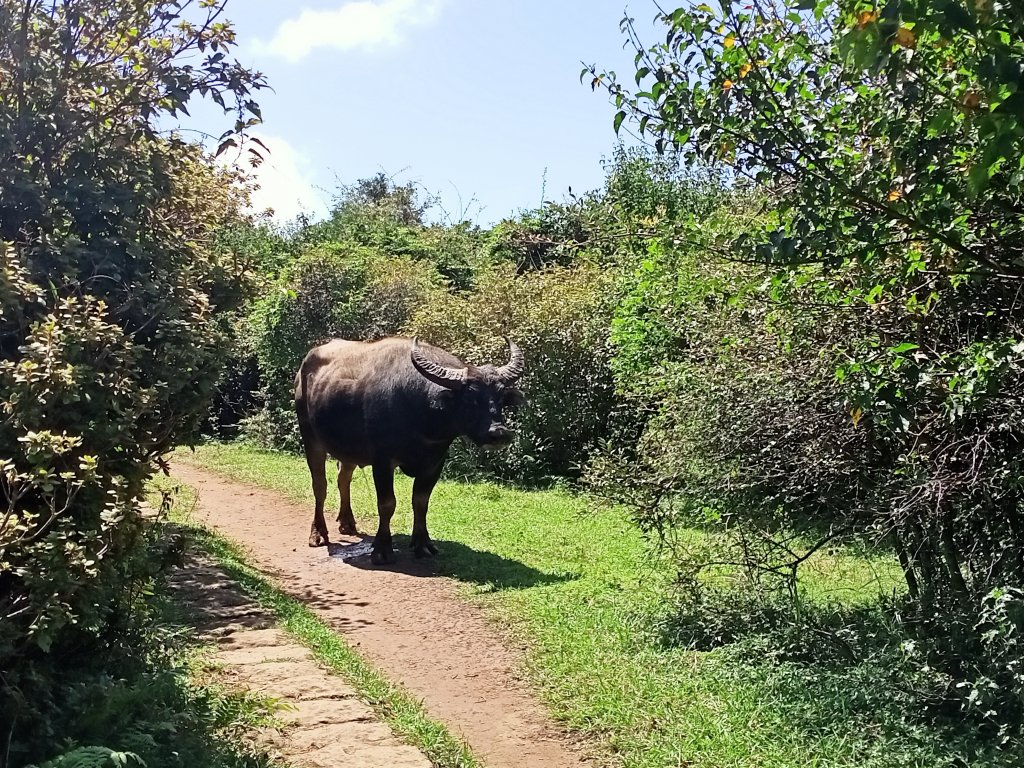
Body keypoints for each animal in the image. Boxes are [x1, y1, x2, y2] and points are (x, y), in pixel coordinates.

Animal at [292, 335, 524, 565]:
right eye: (470, 398)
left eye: (501, 398)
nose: (499, 433)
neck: (420, 415)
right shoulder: (383, 461)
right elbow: (387, 504)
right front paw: (382, 549)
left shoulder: (435, 462)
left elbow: (421, 502)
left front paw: (423, 544)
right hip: (310, 437)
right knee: (320, 485)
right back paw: (318, 534)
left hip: (347, 448)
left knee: (343, 478)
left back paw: (347, 522)